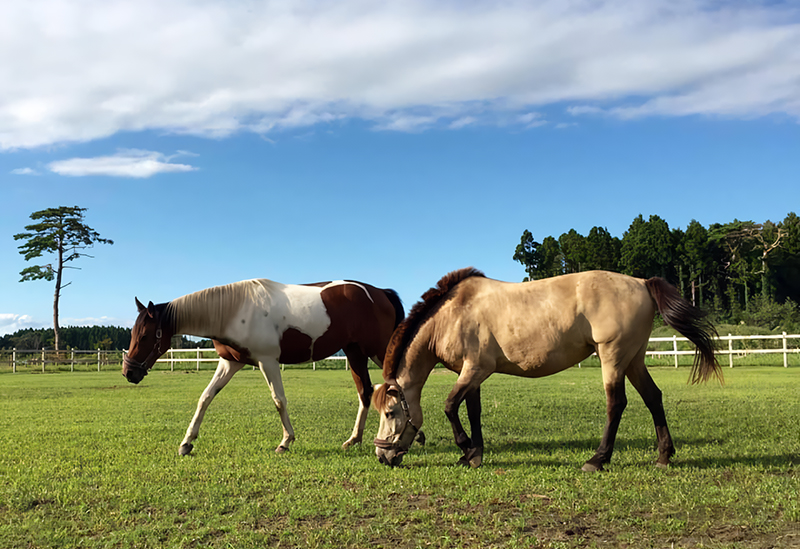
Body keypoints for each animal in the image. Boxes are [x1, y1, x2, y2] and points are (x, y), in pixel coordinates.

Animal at [123, 278, 404, 455]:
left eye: (145, 336)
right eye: (133, 333)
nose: (129, 372)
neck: (234, 310)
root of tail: (380, 292)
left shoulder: (267, 361)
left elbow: (279, 400)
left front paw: (285, 442)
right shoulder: (229, 363)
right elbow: (205, 397)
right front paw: (186, 443)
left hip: (378, 351)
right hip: (355, 353)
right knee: (366, 392)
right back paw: (354, 439)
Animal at [373, 267, 722, 471]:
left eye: (390, 412)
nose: (382, 456)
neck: (453, 314)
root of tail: (642, 283)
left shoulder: (474, 370)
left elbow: (449, 406)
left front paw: (465, 448)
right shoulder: (473, 373)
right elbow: (472, 412)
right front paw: (474, 453)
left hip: (612, 357)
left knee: (616, 404)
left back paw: (597, 460)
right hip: (633, 359)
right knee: (653, 398)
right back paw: (663, 457)